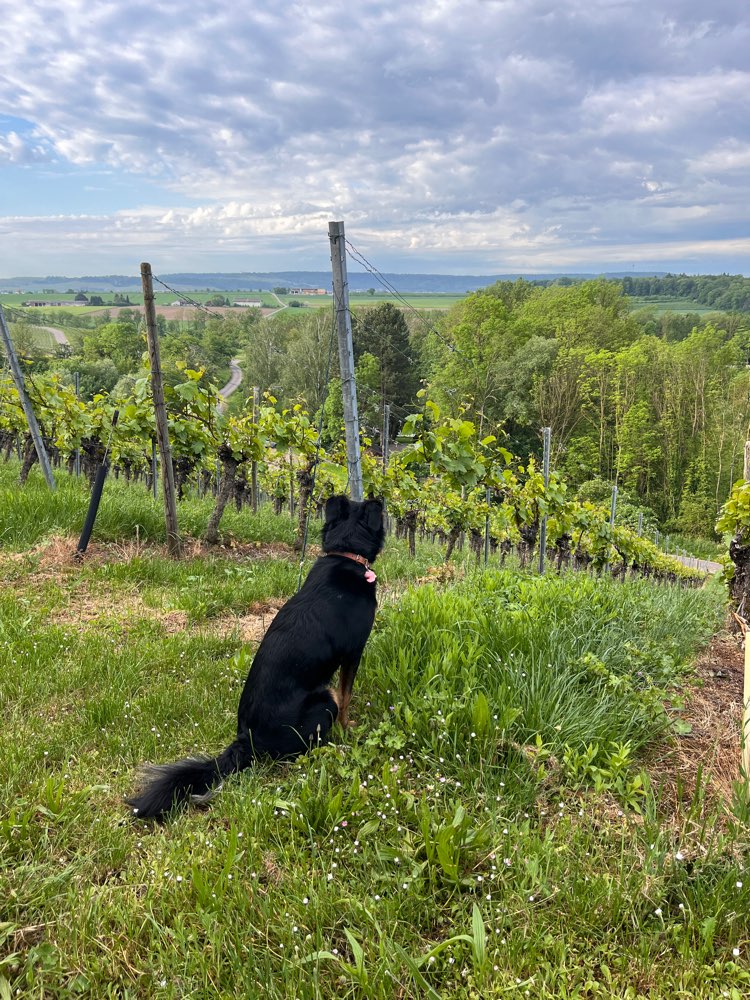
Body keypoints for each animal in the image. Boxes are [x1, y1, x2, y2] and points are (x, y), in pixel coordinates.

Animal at [127, 496, 384, 816]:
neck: (346, 555)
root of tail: (245, 741)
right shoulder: (353, 652)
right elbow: (346, 695)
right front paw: (348, 728)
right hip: (324, 702)